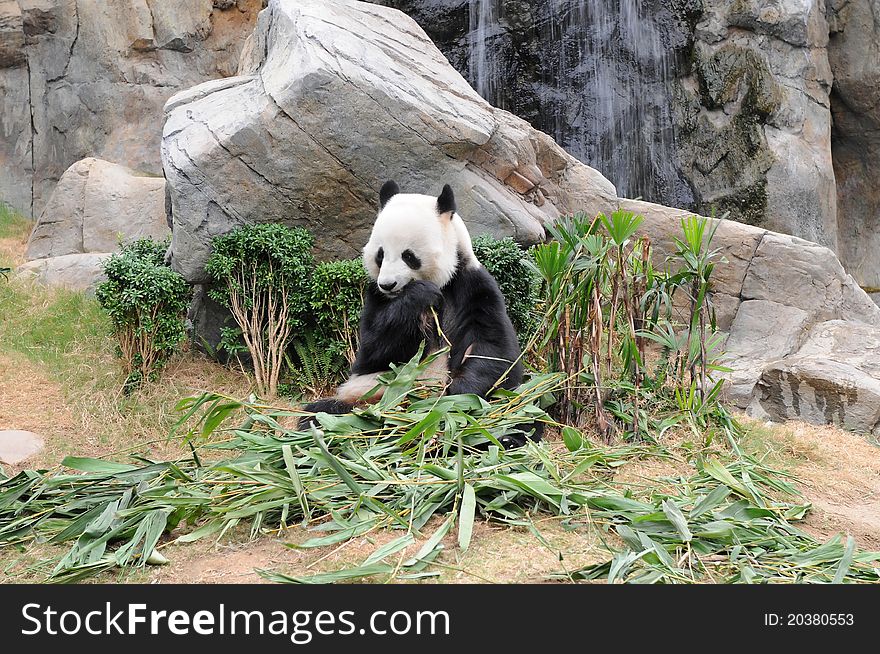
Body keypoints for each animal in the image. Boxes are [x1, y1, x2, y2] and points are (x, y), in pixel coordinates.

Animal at [300, 181, 536, 446]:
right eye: (380, 254)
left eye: (408, 256)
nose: (388, 284)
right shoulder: (375, 297)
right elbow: (372, 351)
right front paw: (419, 295)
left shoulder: (473, 285)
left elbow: (492, 346)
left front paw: (462, 393)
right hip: (366, 394)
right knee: (324, 413)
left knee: (522, 412)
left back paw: (506, 437)